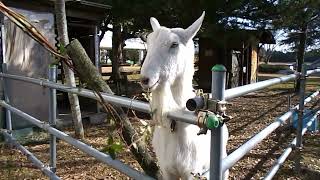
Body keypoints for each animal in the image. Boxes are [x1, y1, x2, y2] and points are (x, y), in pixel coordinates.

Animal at [140, 11, 228, 179]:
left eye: (174, 44)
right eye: (149, 42)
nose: (145, 79)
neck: (177, 121)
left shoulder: (192, 172)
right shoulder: (166, 170)